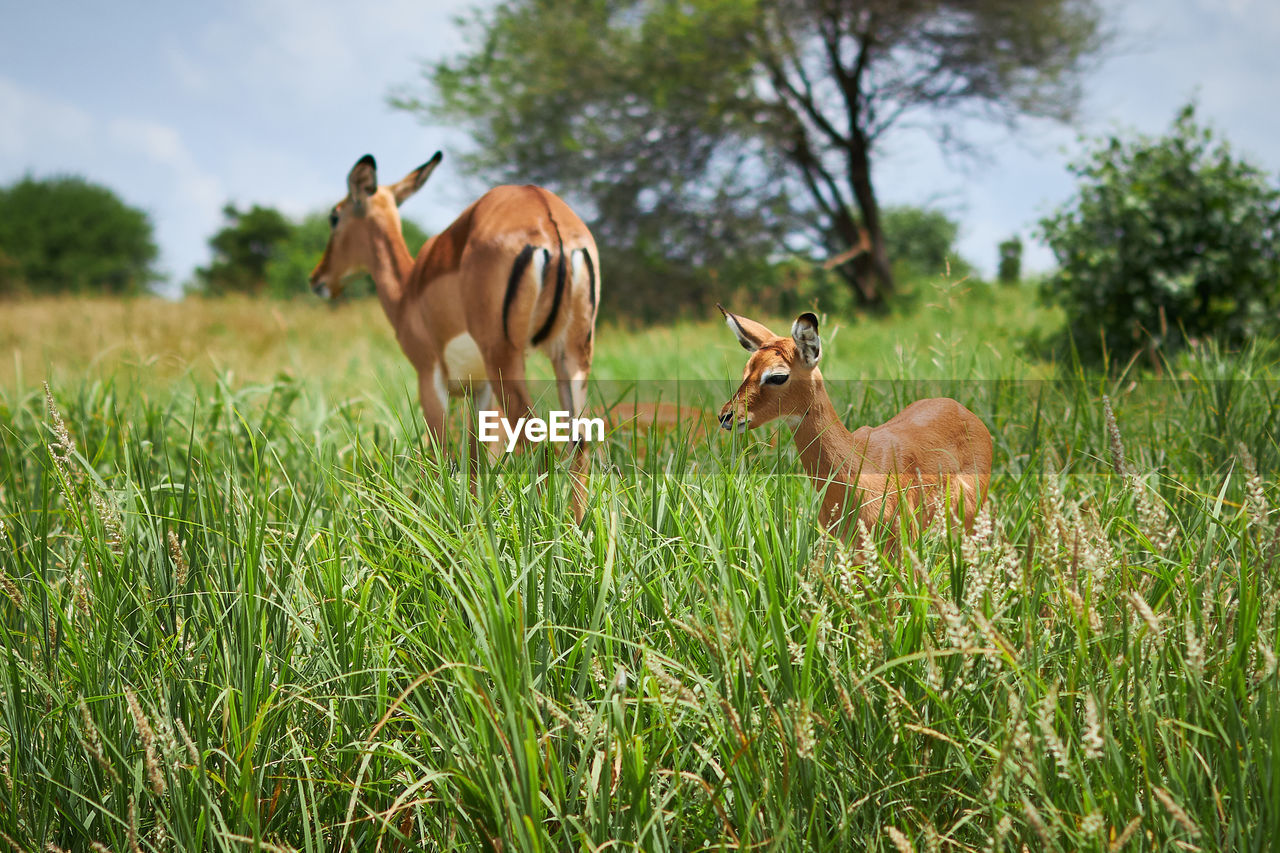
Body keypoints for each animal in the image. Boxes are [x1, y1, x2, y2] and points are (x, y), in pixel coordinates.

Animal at [314, 153, 604, 517]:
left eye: (334, 216)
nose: (318, 278)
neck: (408, 289)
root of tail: (550, 218)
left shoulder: (430, 377)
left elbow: (439, 457)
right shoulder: (478, 388)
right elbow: (477, 460)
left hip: (506, 359)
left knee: (541, 444)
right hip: (572, 356)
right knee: (580, 443)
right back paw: (576, 527)